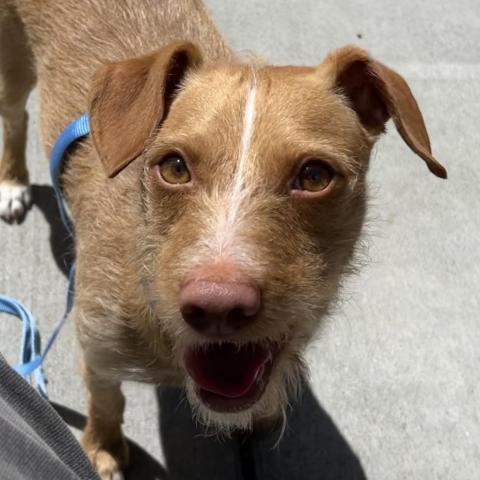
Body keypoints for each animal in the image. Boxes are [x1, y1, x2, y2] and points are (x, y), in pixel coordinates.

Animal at [0, 0, 446, 476]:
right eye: (174, 167)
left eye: (314, 175)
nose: (218, 306)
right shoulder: (97, 351)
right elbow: (106, 401)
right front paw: (102, 449)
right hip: (13, 67)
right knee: (14, 116)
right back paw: (12, 182)